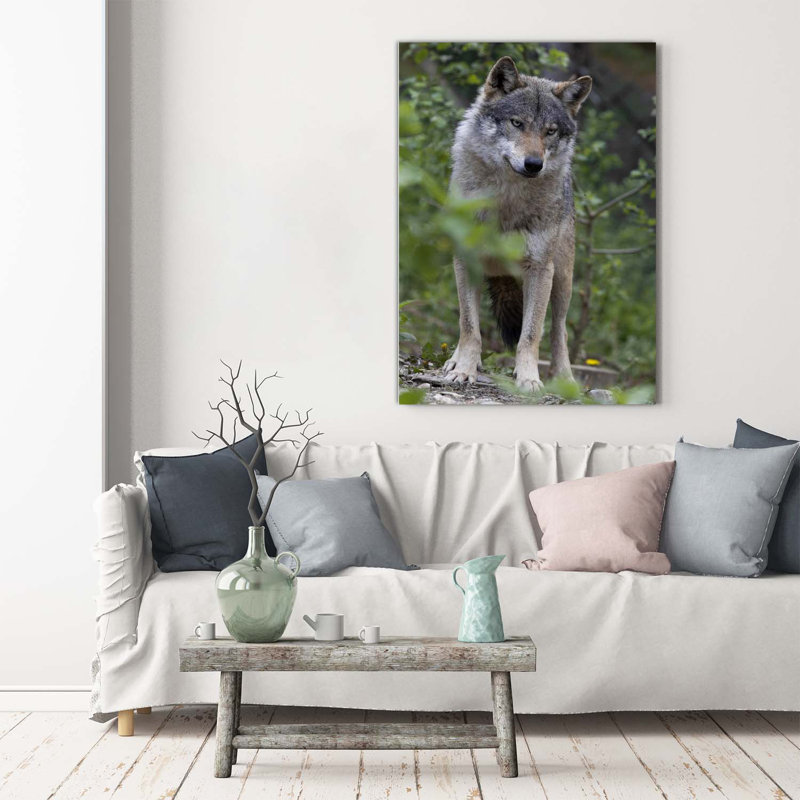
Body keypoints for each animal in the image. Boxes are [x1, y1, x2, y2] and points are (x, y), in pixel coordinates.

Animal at [442, 56, 592, 392]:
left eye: (550, 131)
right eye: (517, 123)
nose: (534, 164)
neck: (506, 202)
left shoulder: (540, 269)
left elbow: (531, 335)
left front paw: (528, 379)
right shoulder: (465, 259)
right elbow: (469, 326)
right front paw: (464, 370)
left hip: (562, 280)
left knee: (559, 330)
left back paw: (564, 378)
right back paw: (456, 361)